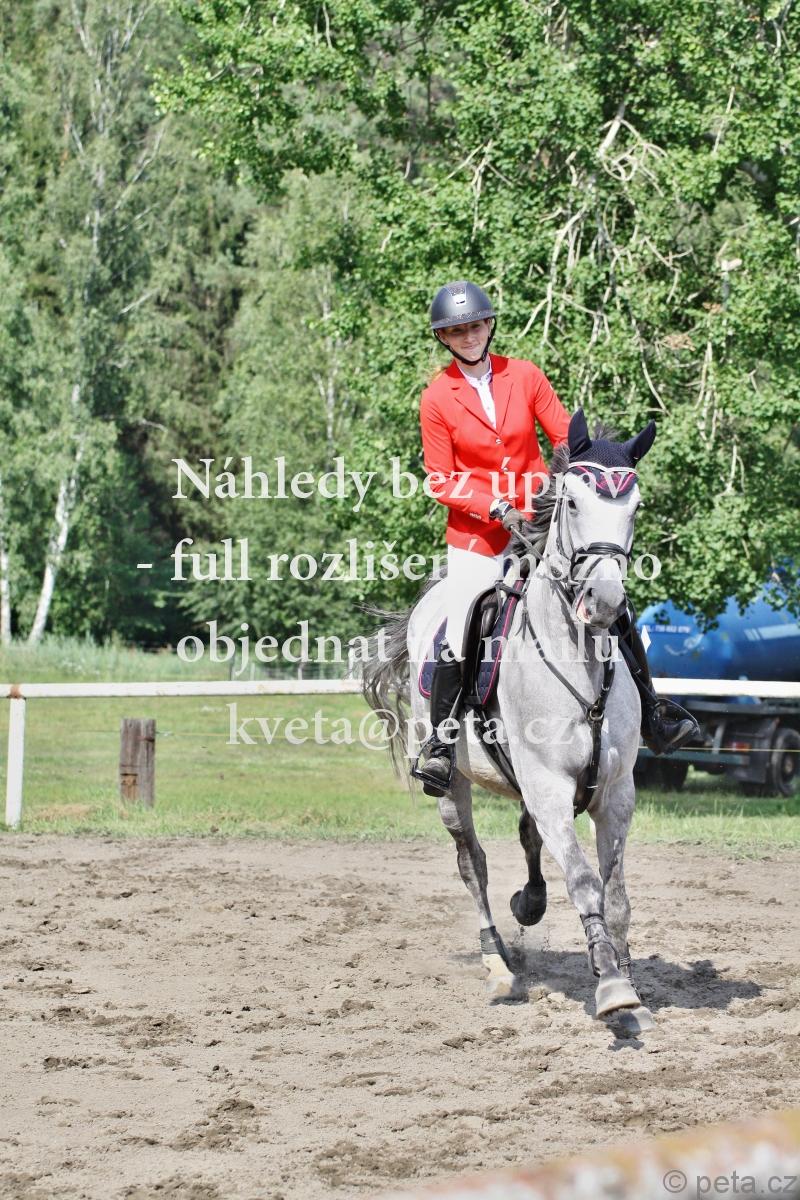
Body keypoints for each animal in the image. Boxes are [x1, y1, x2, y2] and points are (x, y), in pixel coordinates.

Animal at [361, 408, 657, 1029]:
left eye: (635, 507)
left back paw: (530, 902)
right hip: (452, 785)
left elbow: (616, 894)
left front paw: (631, 987)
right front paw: (611, 986)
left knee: (526, 838)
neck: (578, 659)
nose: (604, 603)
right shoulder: (548, 786)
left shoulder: (615, 792)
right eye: (572, 502)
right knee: (471, 864)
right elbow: (585, 882)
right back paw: (498, 965)